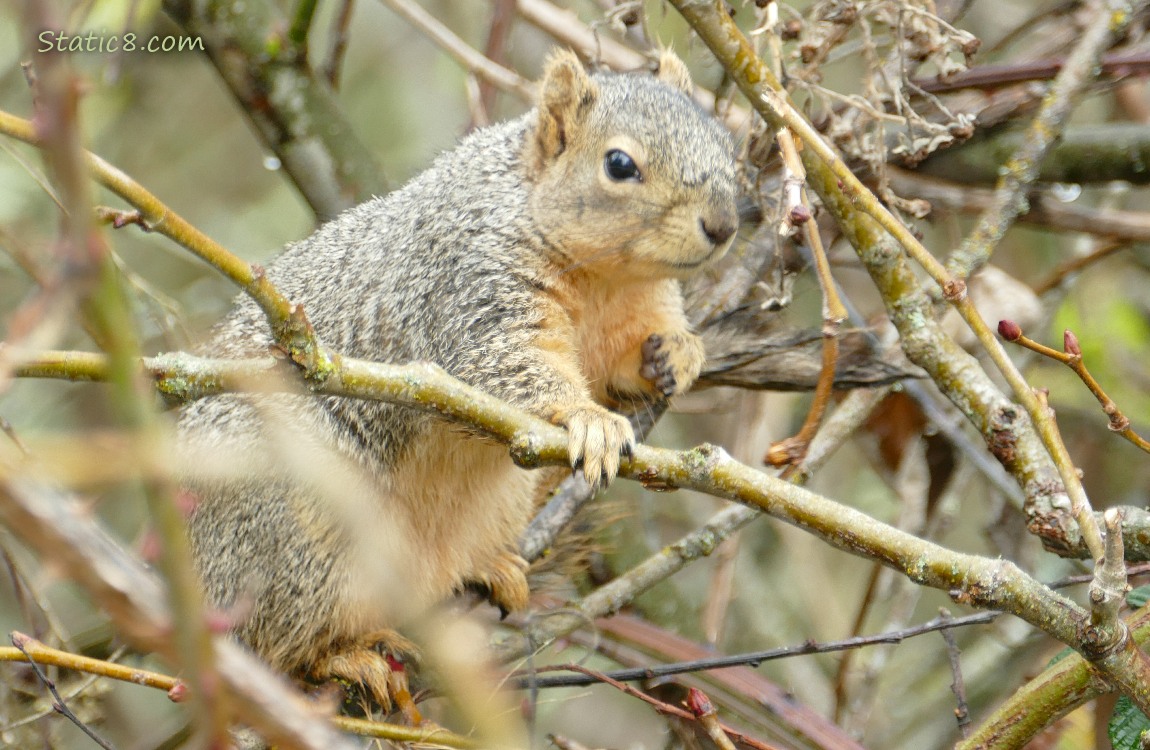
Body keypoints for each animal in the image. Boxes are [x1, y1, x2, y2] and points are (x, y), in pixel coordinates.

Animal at [177, 48, 736, 713]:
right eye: (619, 164)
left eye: (726, 141)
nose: (725, 224)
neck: (604, 276)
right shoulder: (474, 288)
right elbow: (505, 367)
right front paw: (590, 419)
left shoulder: (632, 311)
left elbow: (629, 356)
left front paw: (679, 353)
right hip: (296, 521)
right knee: (275, 644)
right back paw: (341, 658)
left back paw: (488, 570)